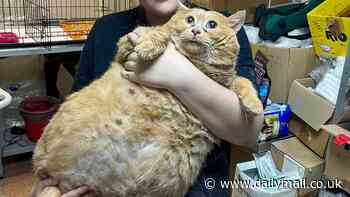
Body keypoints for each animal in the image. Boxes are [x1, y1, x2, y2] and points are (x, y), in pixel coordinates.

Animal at [33, 6, 262, 196]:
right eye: (190, 19)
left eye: (212, 25)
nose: (196, 31)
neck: (194, 63)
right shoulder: (125, 48)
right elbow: (157, 32)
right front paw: (149, 47)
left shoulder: (226, 83)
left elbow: (244, 82)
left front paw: (254, 106)